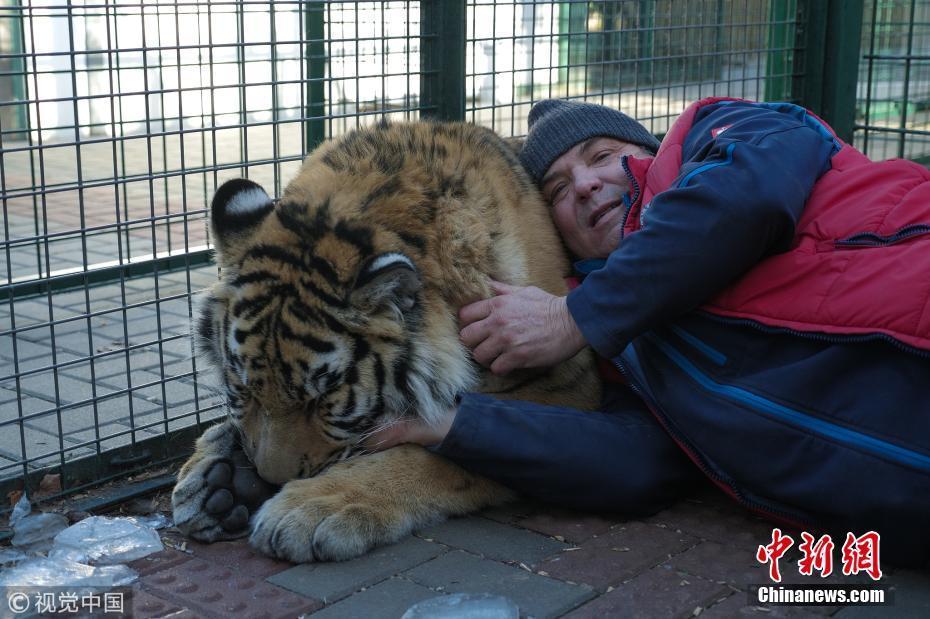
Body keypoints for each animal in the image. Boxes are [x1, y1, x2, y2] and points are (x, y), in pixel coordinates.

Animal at [169, 118, 600, 564]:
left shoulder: (564, 391)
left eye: (324, 400)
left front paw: (310, 508)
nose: (270, 480)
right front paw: (216, 483)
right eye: (243, 388)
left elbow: (437, 447)